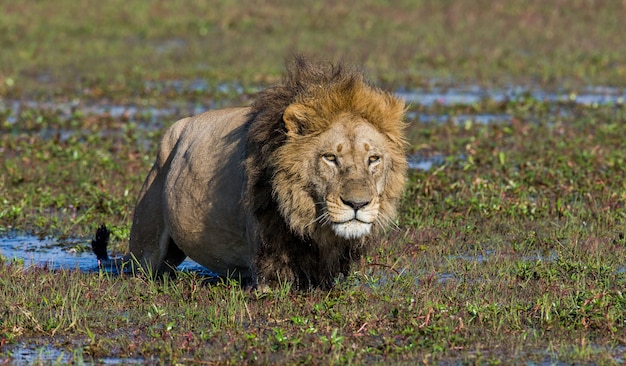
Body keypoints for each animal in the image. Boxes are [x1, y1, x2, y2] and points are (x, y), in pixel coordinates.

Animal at [91, 55, 404, 288]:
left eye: (373, 159)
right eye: (330, 158)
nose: (358, 204)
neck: (309, 222)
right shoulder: (267, 269)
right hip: (145, 249)